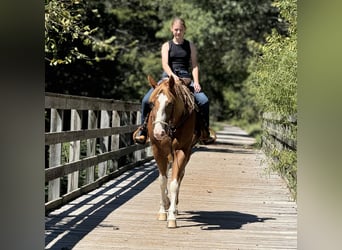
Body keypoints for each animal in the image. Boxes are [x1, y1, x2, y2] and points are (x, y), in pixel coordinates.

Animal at [145, 74, 198, 229]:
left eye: (170, 104)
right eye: (151, 104)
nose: (158, 132)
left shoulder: (182, 151)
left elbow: (174, 182)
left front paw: (172, 217)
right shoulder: (158, 151)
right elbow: (162, 181)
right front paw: (163, 211)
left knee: (180, 176)